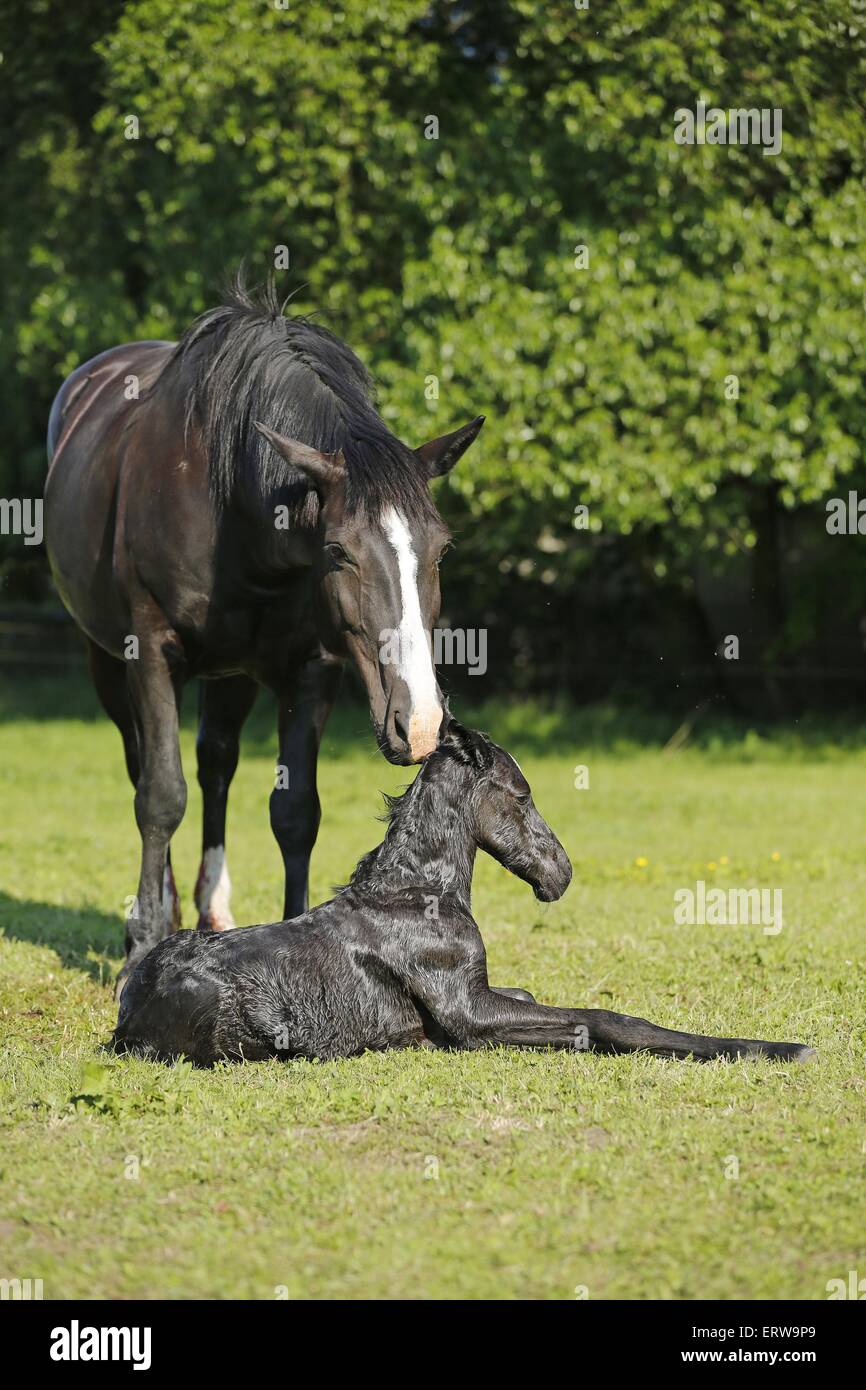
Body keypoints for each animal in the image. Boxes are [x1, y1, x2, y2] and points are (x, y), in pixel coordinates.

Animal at [111, 728, 817, 1061]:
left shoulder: (484, 994)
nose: (561, 873)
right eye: (523, 795)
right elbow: (597, 1021)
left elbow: (537, 998)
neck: (418, 892)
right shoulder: (466, 1012)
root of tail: (126, 1017)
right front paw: (783, 1049)